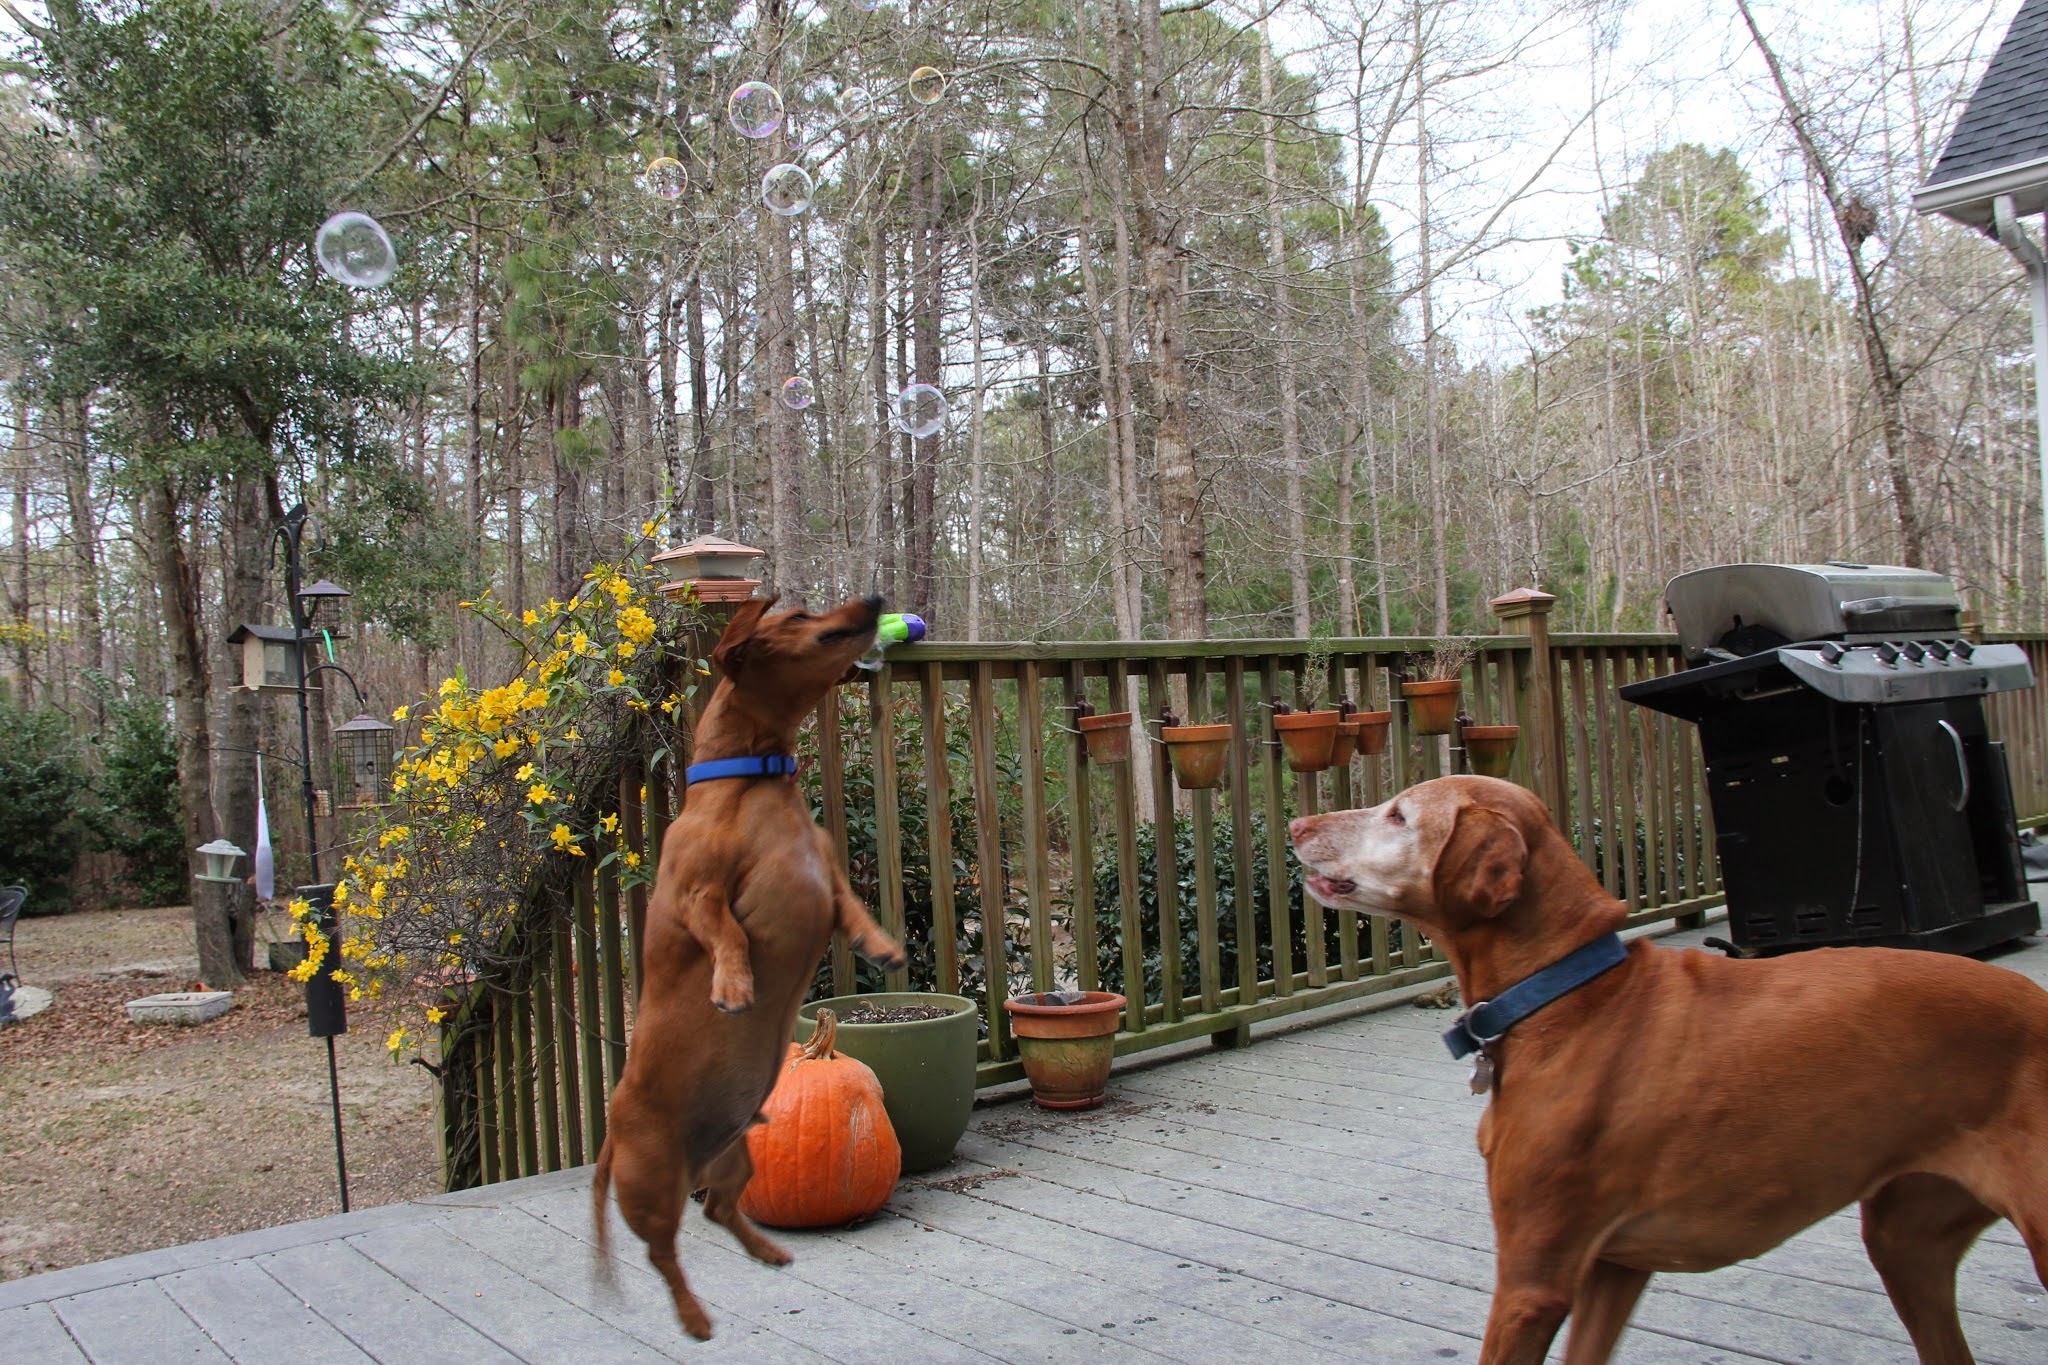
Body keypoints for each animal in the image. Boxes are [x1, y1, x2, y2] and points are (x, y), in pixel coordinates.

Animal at [592, 592, 907, 1340]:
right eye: (797, 616)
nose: (876, 599)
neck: (752, 781)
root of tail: (612, 1131)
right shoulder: (693, 892)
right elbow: (724, 928)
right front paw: (733, 984)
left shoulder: (825, 873)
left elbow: (851, 906)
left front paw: (880, 946)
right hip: (651, 1185)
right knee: (664, 1253)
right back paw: (693, 1315)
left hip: (735, 1159)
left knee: (718, 1210)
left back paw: (767, 1250)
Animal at [1291, 774, 2048, 1365]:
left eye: (1399, 815)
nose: (1298, 824)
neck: (1566, 993)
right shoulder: (1614, 1267)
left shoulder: (1534, 1282)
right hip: (1906, 1243)